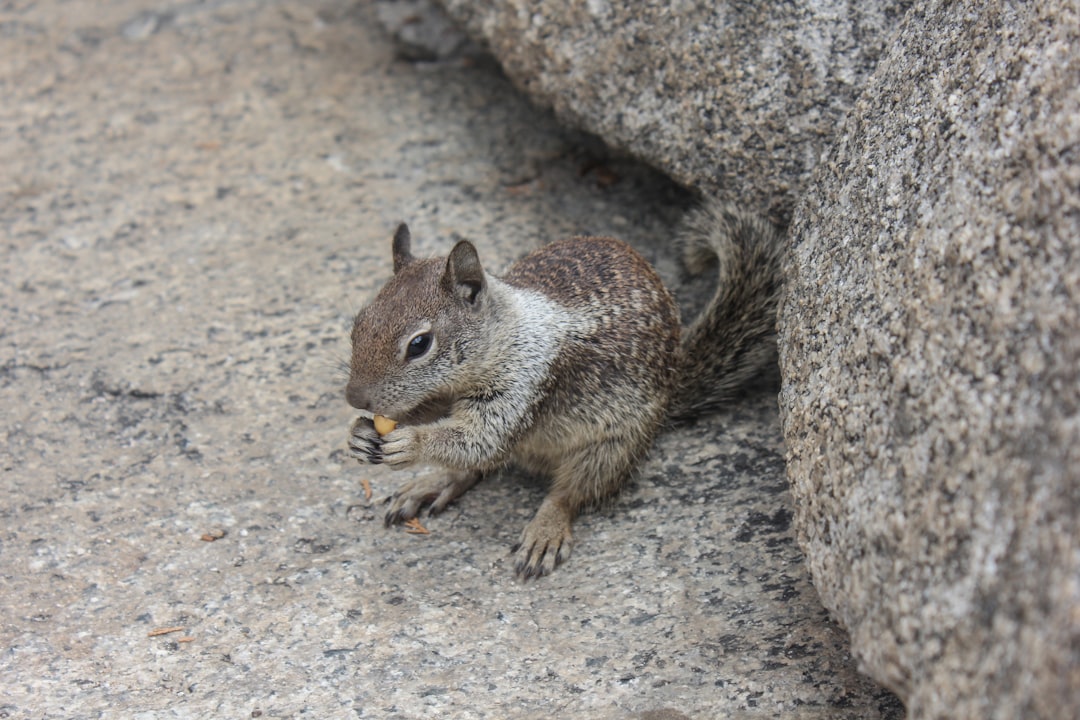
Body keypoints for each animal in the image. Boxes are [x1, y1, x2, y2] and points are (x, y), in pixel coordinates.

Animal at [345, 202, 786, 578]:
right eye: (359, 322)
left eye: (419, 344)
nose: (354, 398)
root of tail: (675, 377)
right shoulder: (442, 394)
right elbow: (442, 421)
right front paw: (359, 435)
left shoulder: (525, 383)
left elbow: (481, 440)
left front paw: (411, 444)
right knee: (477, 470)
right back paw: (431, 483)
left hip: (613, 448)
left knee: (569, 493)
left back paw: (545, 530)